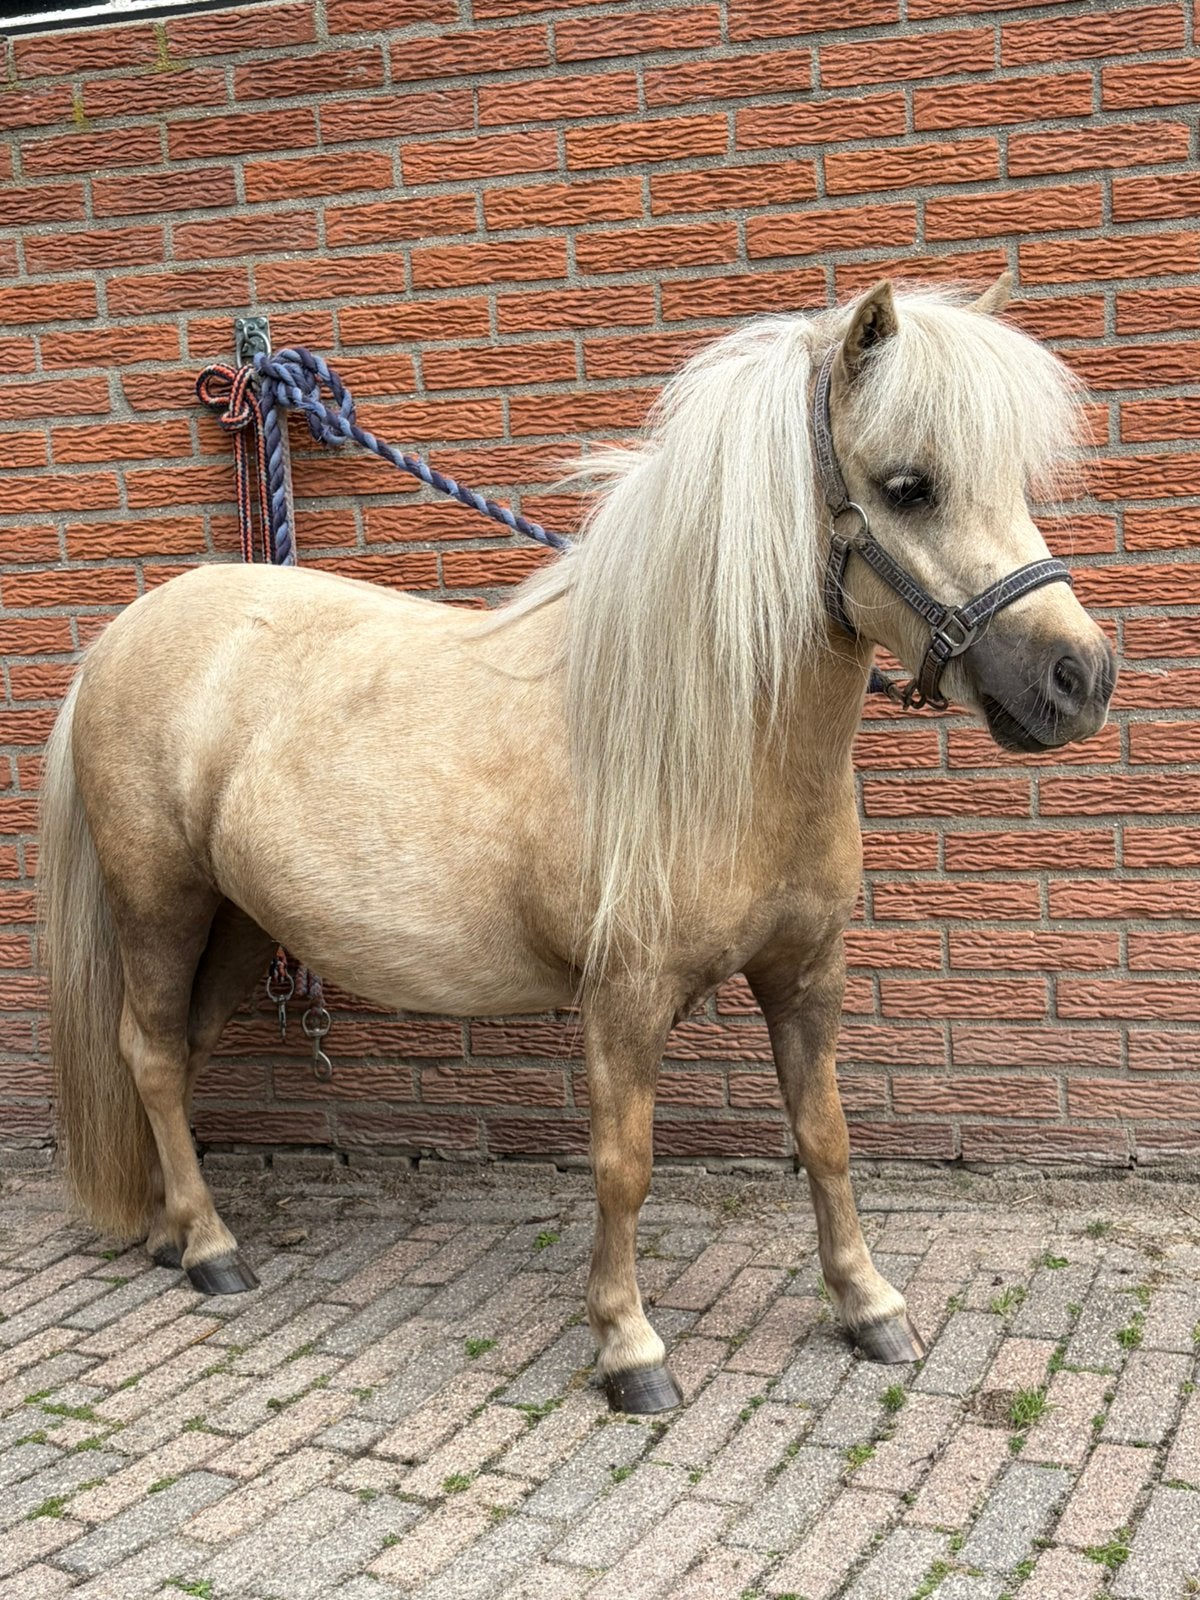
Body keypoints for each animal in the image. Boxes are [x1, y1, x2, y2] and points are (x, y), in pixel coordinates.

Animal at [39, 275, 1116, 1414]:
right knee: (152, 1054)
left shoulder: (807, 972)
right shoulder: (624, 999)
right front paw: (629, 1347)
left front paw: (869, 1306)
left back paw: (171, 1230)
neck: (709, 743)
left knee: (178, 1053)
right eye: (910, 486)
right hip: (160, 904)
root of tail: (123, 638)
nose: (1079, 678)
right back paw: (210, 1249)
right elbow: (623, 1165)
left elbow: (825, 1138)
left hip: (239, 920)